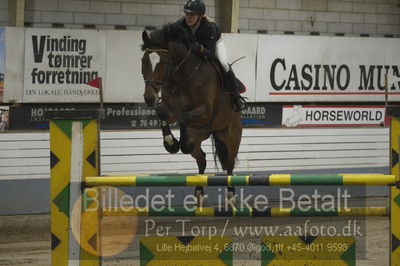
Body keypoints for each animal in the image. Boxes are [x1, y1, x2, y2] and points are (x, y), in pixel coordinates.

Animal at [141, 23, 242, 206]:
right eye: (143, 61)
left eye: (163, 62)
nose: (149, 98)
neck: (183, 77)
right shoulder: (171, 110)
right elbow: (162, 113)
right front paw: (171, 143)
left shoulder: (205, 111)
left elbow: (184, 118)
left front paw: (181, 143)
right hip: (200, 137)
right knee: (202, 159)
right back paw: (199, 194)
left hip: (231, 136)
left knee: (230, 163)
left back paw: (231, 197)